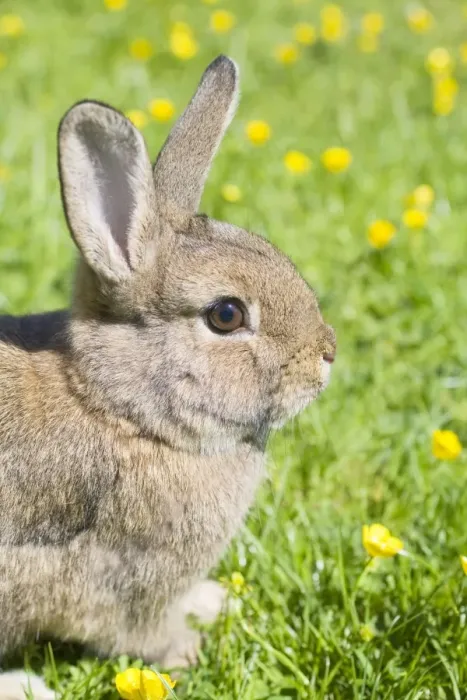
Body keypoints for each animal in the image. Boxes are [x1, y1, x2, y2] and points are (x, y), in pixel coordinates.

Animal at [0, 55, 336, 698]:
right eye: (226, 315)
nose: (326, 357)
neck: (120, 410)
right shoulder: (123, 585)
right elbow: (141, 632)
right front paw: (189, 650)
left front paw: (213, 602)